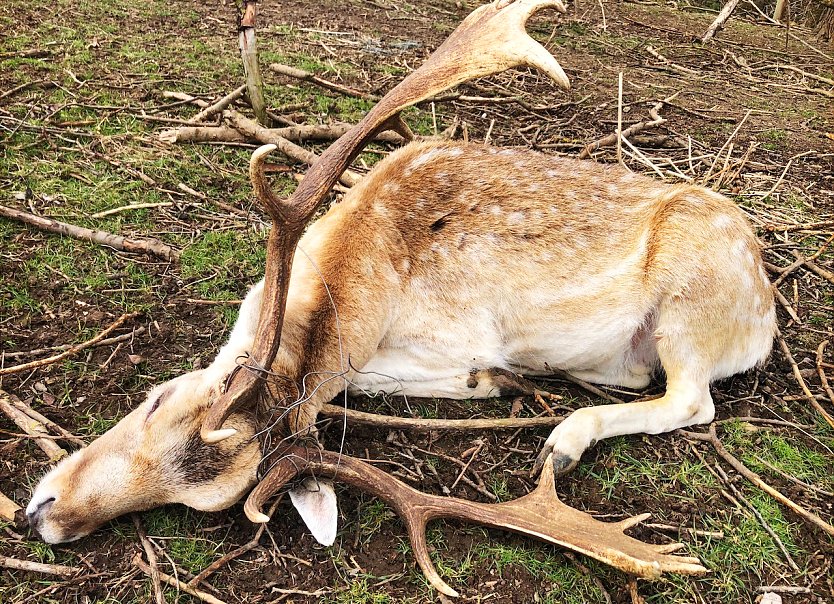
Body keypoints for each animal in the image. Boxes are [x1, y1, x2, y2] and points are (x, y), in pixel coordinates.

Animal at [26, 0, 772, 596]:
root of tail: (765, 318)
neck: (349, 264)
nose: (45, 515)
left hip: (690, 304)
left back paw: (564, 440)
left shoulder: (446, 339)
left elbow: (379, 380)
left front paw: (493, 381)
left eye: (161, 399)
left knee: (693, 400)